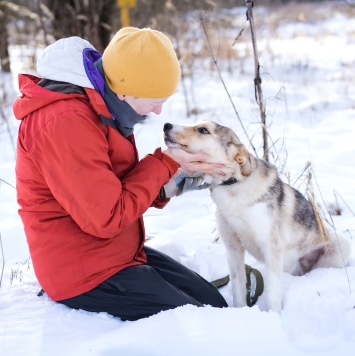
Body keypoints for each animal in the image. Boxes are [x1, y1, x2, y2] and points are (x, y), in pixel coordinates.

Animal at [164, 121, 354, 312]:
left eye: (203, 130)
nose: (166, 125)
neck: (233, 186)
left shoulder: (272, 247)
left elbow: (271, 295)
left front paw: (273, 316)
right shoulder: (233, 248)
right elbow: (238, 289)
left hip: (340, 244)